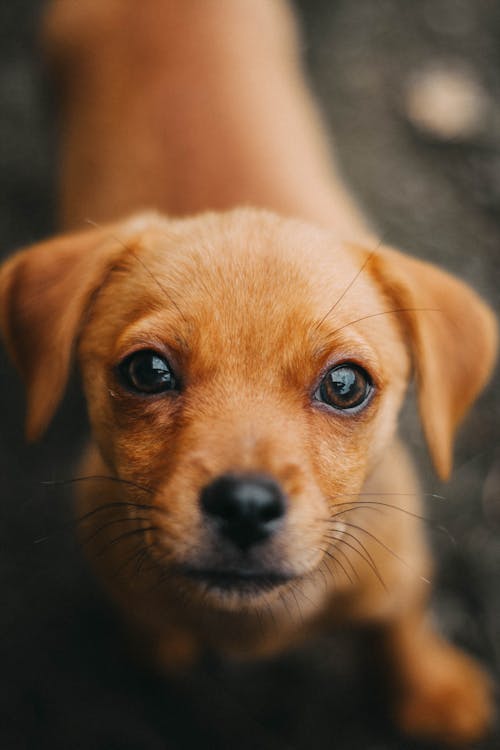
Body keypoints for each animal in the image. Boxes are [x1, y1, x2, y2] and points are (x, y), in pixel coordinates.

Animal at [0, 0, 498, 748]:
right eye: (147, 370)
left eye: (346, 385)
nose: (245, 505)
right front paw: (159, 644)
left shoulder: (400, 573)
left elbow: (400, 629)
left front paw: (432, 690)